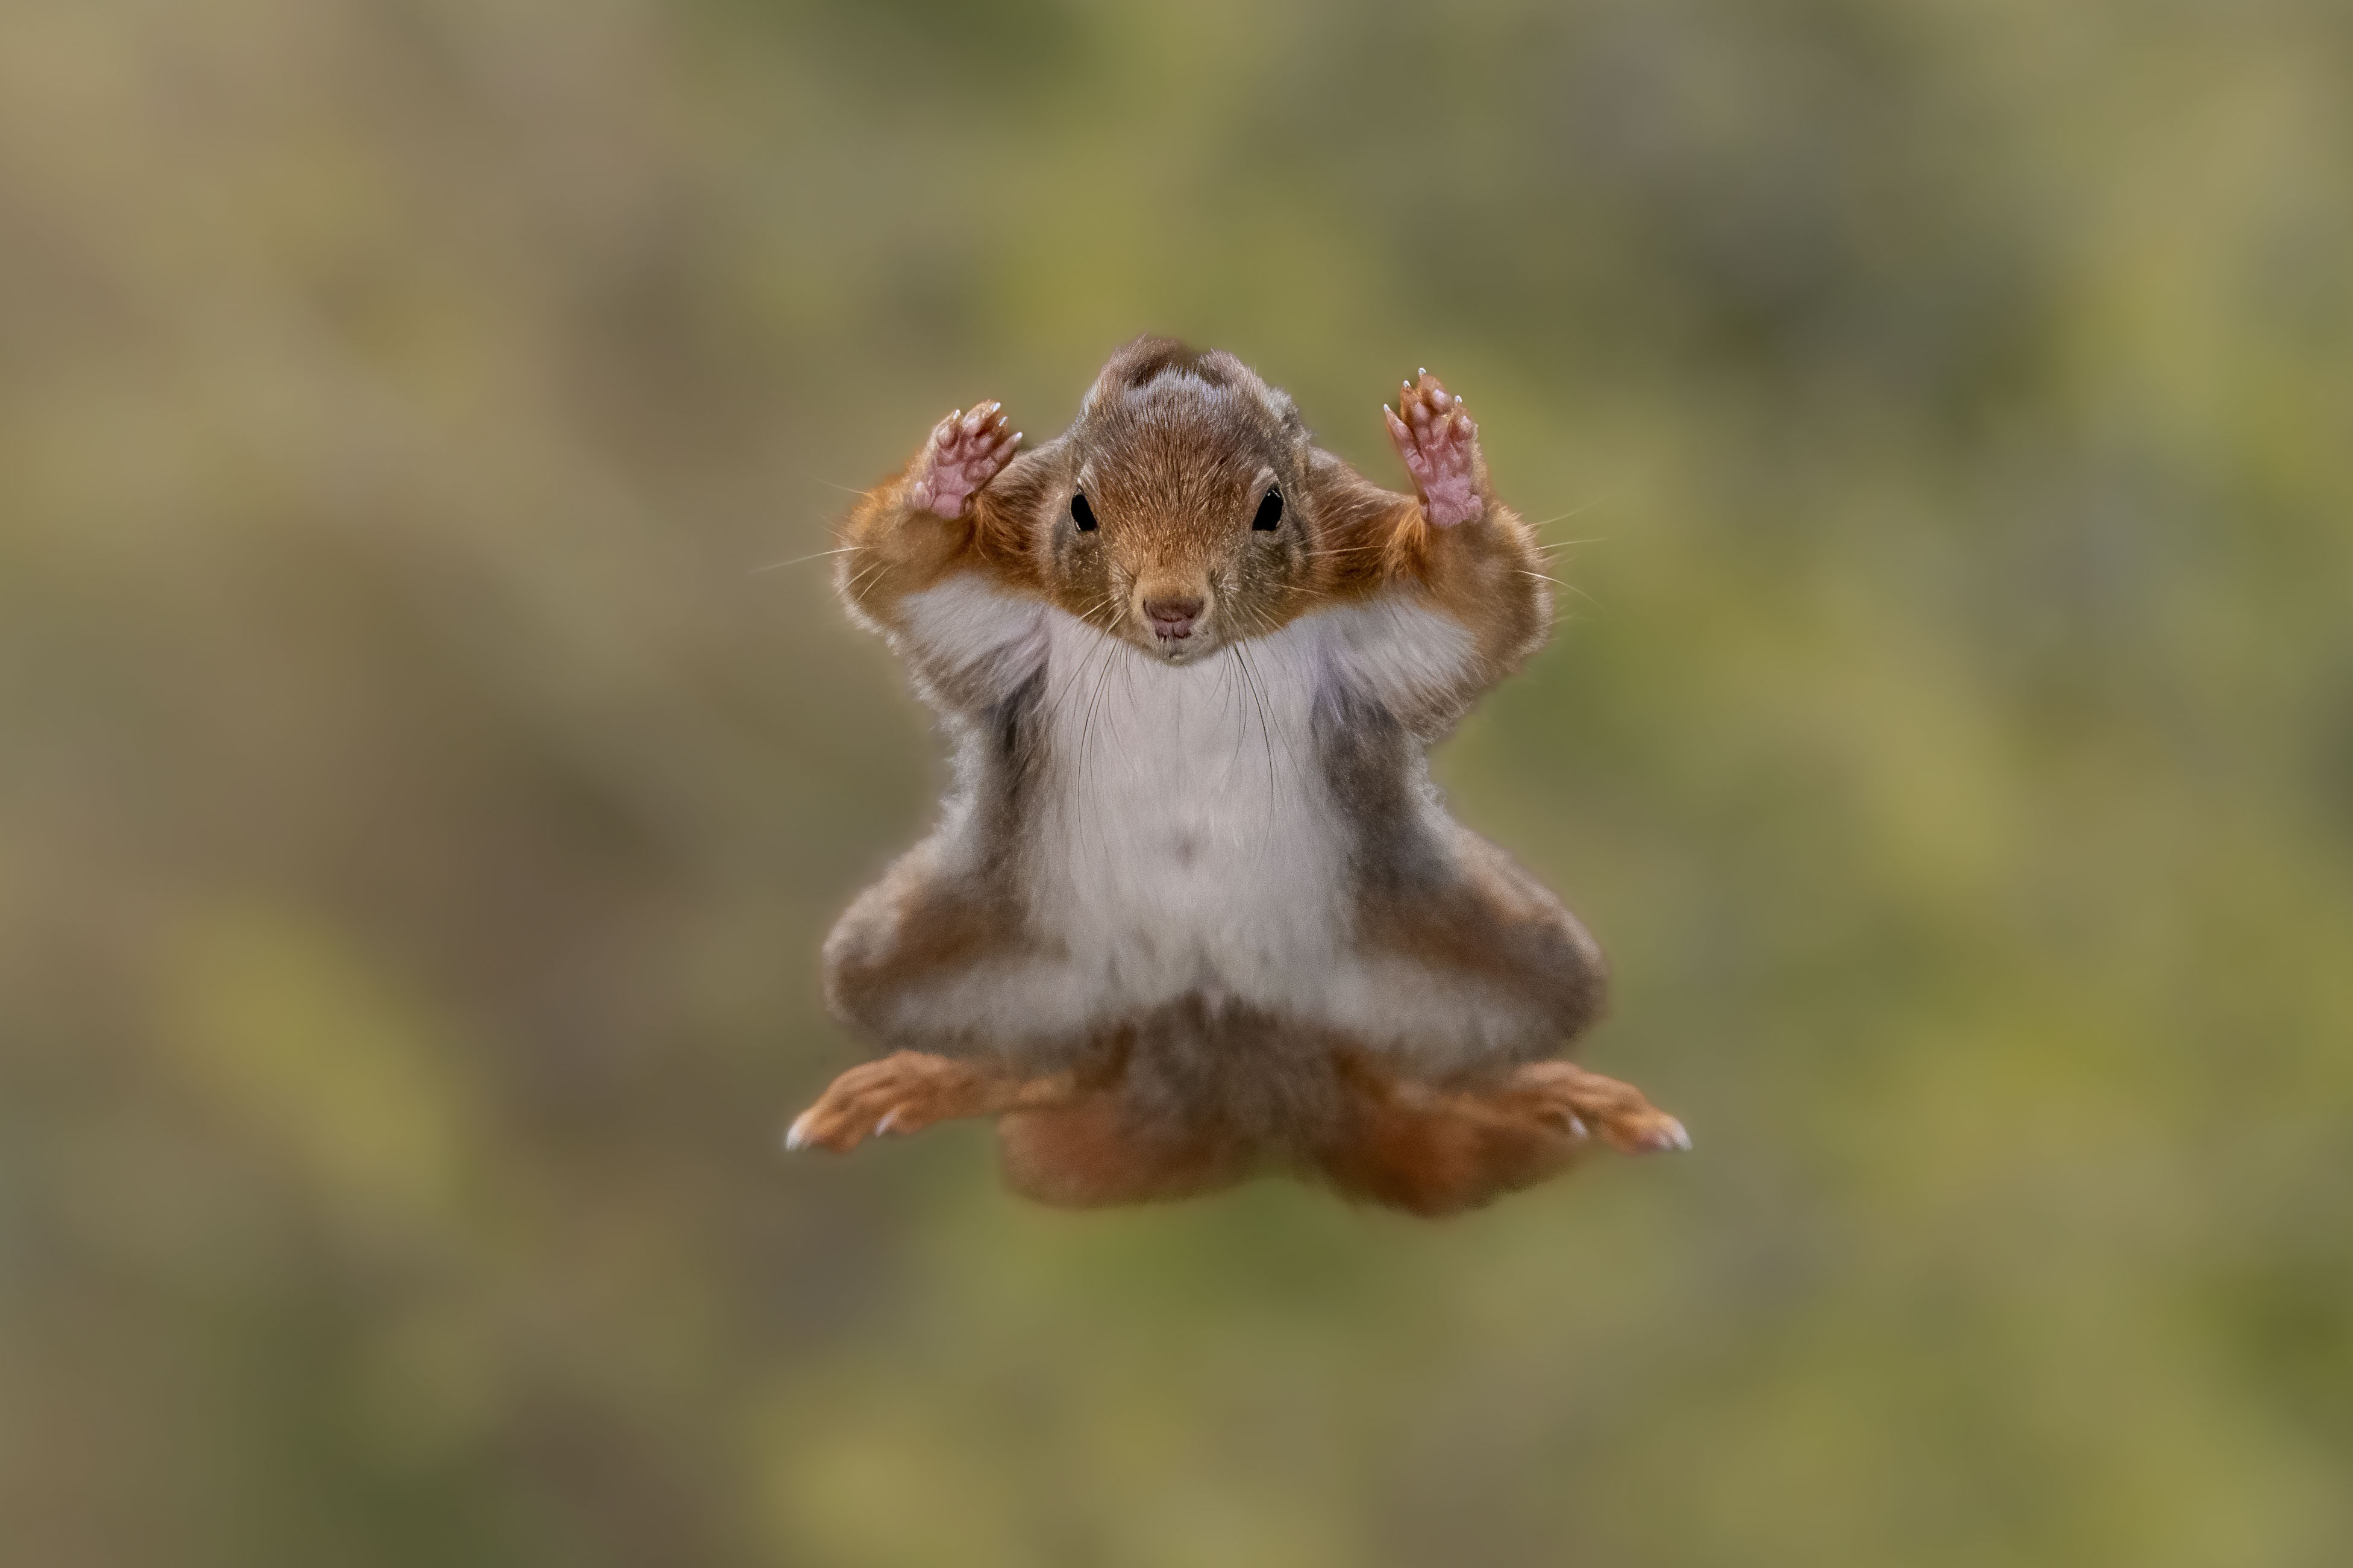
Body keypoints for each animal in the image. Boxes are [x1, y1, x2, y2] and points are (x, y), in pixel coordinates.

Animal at [786, 336, 1686, 1216]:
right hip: (940, 952)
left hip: (1493, 953)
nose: (1172, 608)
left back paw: (1540, 1093)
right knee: (1061, 1062)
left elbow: (1480, 607)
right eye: (1080, 507)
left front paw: (1449, 479)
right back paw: (938, 1076)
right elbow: (899, 576)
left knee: (1413, 1073)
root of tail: (1225, 1048)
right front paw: (946, 480)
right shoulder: (999, 590)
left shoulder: (1367, 589)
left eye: (1271, 507)